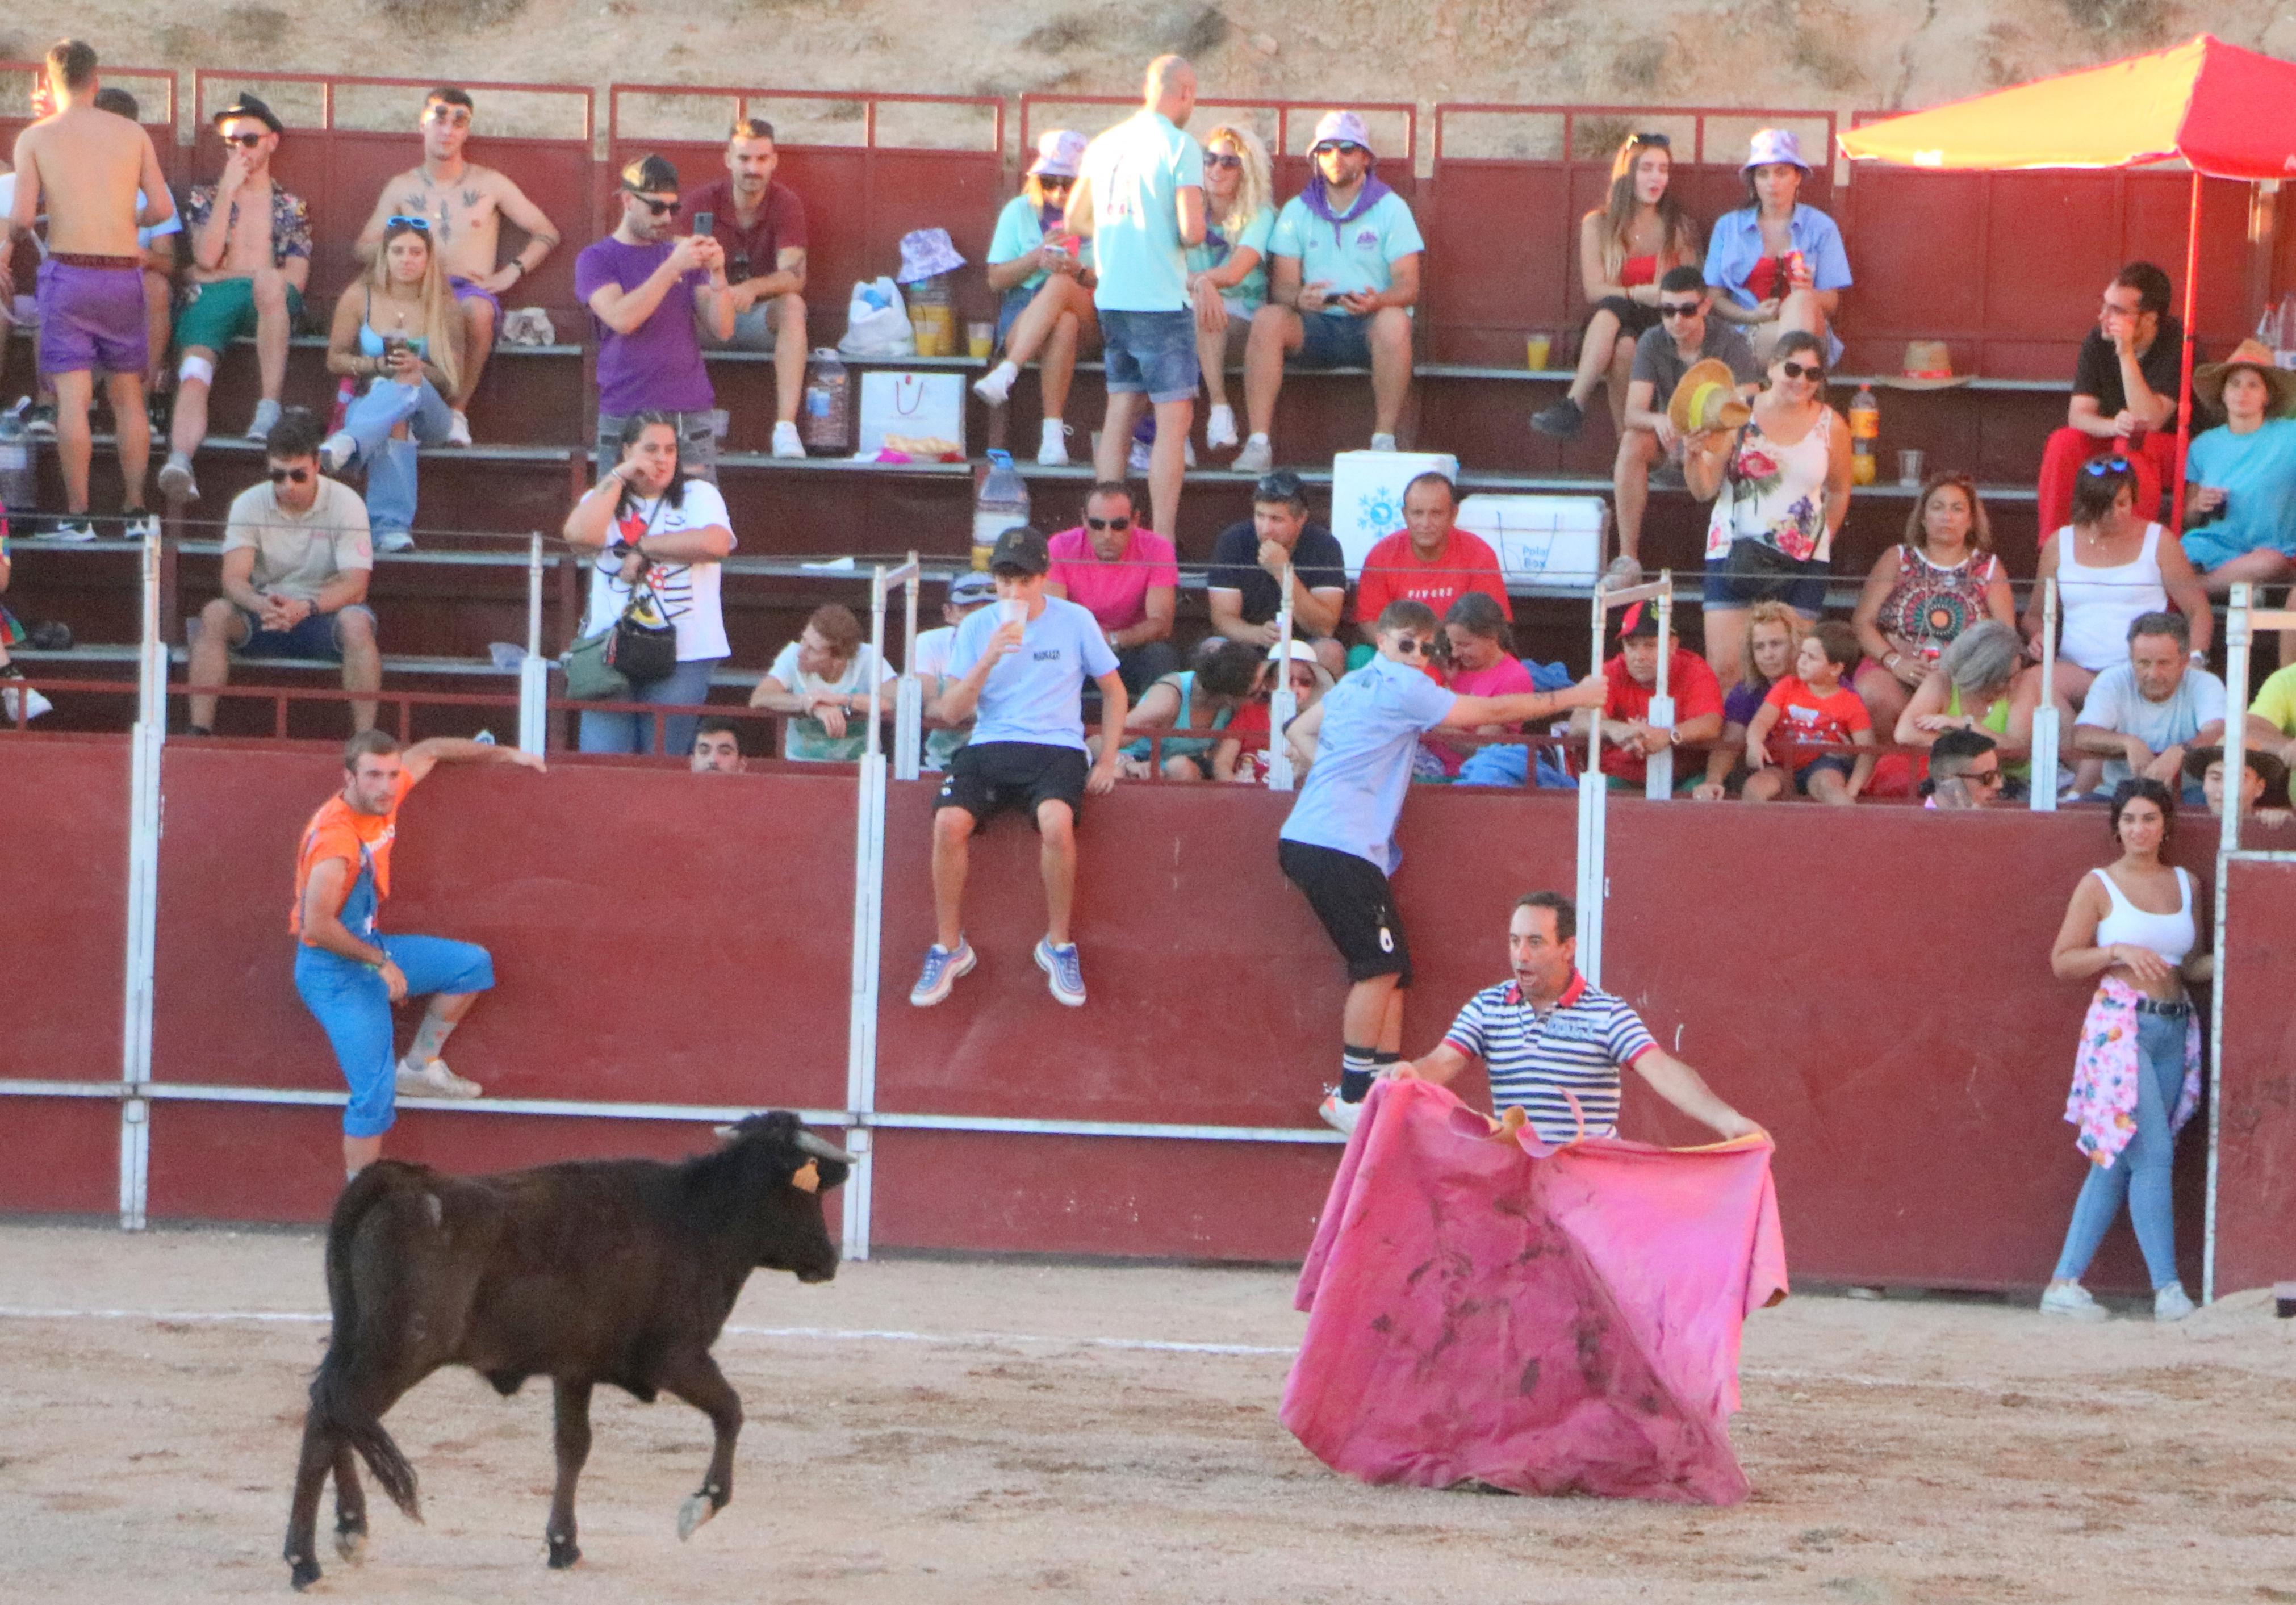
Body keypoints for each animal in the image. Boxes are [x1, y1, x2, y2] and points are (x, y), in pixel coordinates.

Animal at [285, 1111, 854, 1589]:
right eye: (808, 1195)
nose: (828, 1261)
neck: (701, 1218)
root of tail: (399, 1181)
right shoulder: (676, 1358)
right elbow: (731, 1411)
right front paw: (702, 1506)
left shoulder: (575, 1368)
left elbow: (573, 1447)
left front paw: (563, 1545)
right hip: (400, 1350)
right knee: (333, 1419)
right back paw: (304, 1561)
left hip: (358, 1340)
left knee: (332, 1409)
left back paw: (349, 1530)